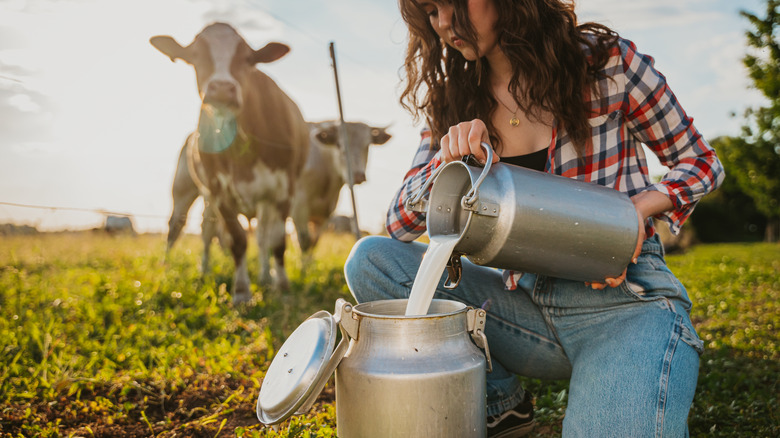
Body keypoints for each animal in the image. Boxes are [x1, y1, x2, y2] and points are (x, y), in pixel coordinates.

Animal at [151, 23, 310, 304]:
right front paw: (241, 292)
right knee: (182, 226)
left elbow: (276, 241)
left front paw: (281, 285)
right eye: (195, 56)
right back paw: (176, 268)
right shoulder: (219, 191)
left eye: (247, 58)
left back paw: (264, 276)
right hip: (185, 188)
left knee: (259, 235)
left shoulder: (284, 189)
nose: (223, 88)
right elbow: (237, 239)